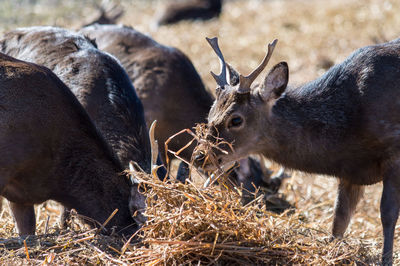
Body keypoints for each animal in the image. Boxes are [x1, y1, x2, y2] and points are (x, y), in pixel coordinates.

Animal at [194, 36, 400, 264]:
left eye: (236, 119)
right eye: (210, 113)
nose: (199, 156)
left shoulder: (394, 153)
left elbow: (388, 213)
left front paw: (386, 260)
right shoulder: (350, 172)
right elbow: (339, 218)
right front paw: (332, 252)